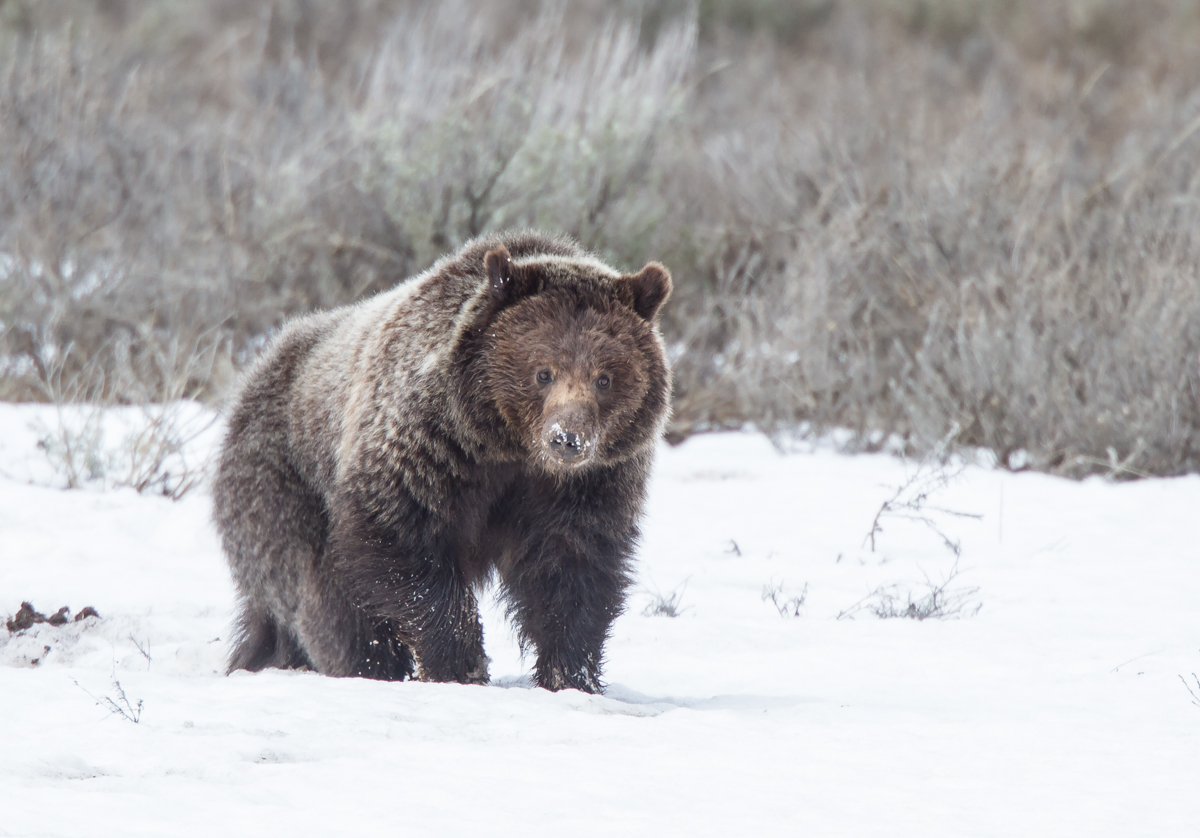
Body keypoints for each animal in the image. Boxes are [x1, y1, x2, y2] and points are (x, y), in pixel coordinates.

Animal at [212, 230, 672, 693]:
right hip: (285, 482)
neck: (508, 446)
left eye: (604, 378)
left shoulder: (587, 484)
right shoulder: (430, 448)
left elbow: (573, 567)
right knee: (327, 601)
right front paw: (460, 664)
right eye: (543, 372)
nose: (567, 439)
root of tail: (258, 369)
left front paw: (570, 672)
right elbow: (407, 548)